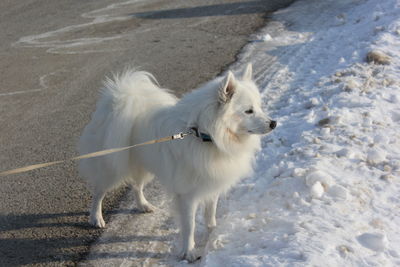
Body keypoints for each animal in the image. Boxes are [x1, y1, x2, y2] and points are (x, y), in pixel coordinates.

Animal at [79, 64, 276, 262]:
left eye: (259, 107)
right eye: (248, 111)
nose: (273, 123)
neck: (203, 134)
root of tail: (118, 100)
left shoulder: (211, 185)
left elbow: (210, 214)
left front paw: (212, 233)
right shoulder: (187, 195)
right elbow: (189, 226)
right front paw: (189, 252)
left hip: (144, 164)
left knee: (136, 185)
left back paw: (143, 205)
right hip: (112, 168)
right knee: (99, 192)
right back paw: (96, 218)